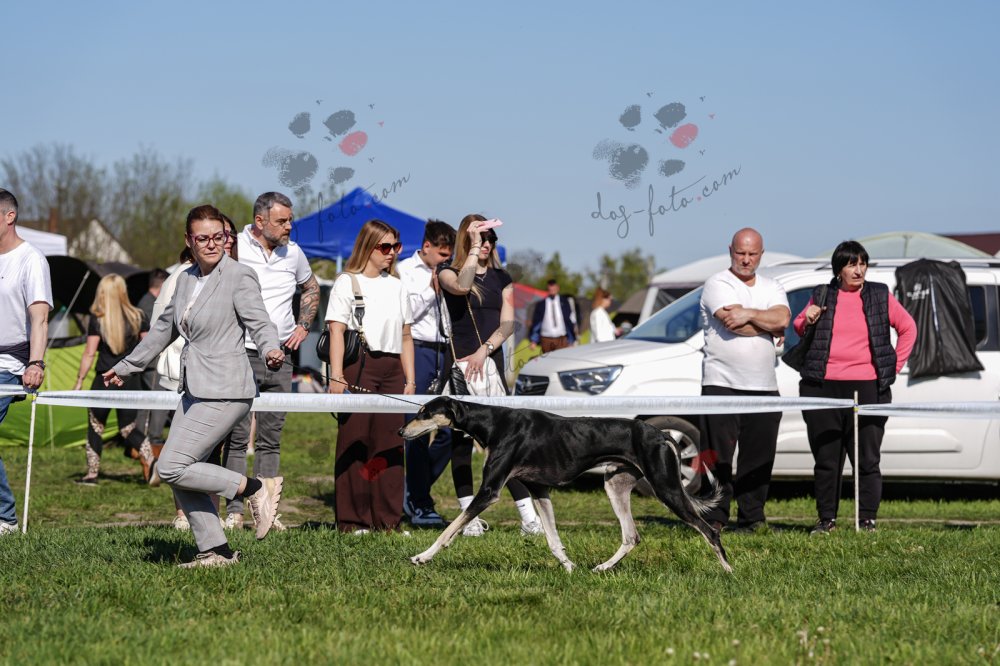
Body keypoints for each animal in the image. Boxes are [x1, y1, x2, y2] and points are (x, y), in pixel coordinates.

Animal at [399, 396, 732, 573]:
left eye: (424, 413)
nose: (402, 431)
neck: (494, 422)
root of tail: (661, 434)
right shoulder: (539, 490)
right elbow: (552, 539)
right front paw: (569, 566)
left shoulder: (490, 492)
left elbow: (451, 529)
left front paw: (422, 556)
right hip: (615, 486)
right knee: (631, 536)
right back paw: (603, 568)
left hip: (667, 488)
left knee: (709, 530)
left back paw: (728, 571)